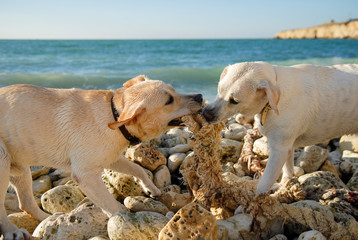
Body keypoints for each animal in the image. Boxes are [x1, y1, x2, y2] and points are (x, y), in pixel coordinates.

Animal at [0, 75, 201, 240]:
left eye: (174, 89)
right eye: (169, 100)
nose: (199, 96)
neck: (114, 114)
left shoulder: (111, 157)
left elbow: (138, 169)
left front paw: (150, 187)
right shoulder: (86, 175)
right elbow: (112, 205)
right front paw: (126, 221)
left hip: (19, 167)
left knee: (26, 203)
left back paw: (48, 219)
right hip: (3, 161)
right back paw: (12, 231)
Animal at [204, 61, 358, 194]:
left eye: (235, 101)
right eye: (219, 90)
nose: (206, 113)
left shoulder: (279, 151)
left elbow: (263, 185)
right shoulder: (287, 147)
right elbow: (288, 169)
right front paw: (285, 184)